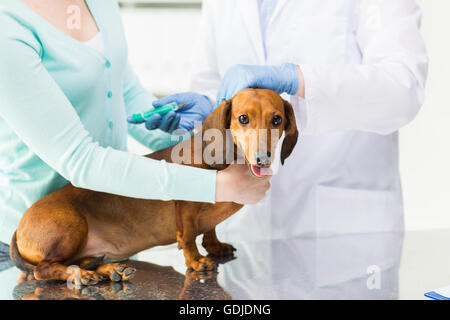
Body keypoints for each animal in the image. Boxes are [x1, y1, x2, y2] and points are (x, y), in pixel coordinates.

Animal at [9, 88, 298, 284]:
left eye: (276, 120)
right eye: (243, 118)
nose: (263, 158)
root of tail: (19, 228)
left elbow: (210, 229)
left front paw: (215, 246)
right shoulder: (186, 208)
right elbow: (189, 235)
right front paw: (196, 260)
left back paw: (111, 270)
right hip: (71, 227)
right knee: (43, 269)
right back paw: (80, 275)